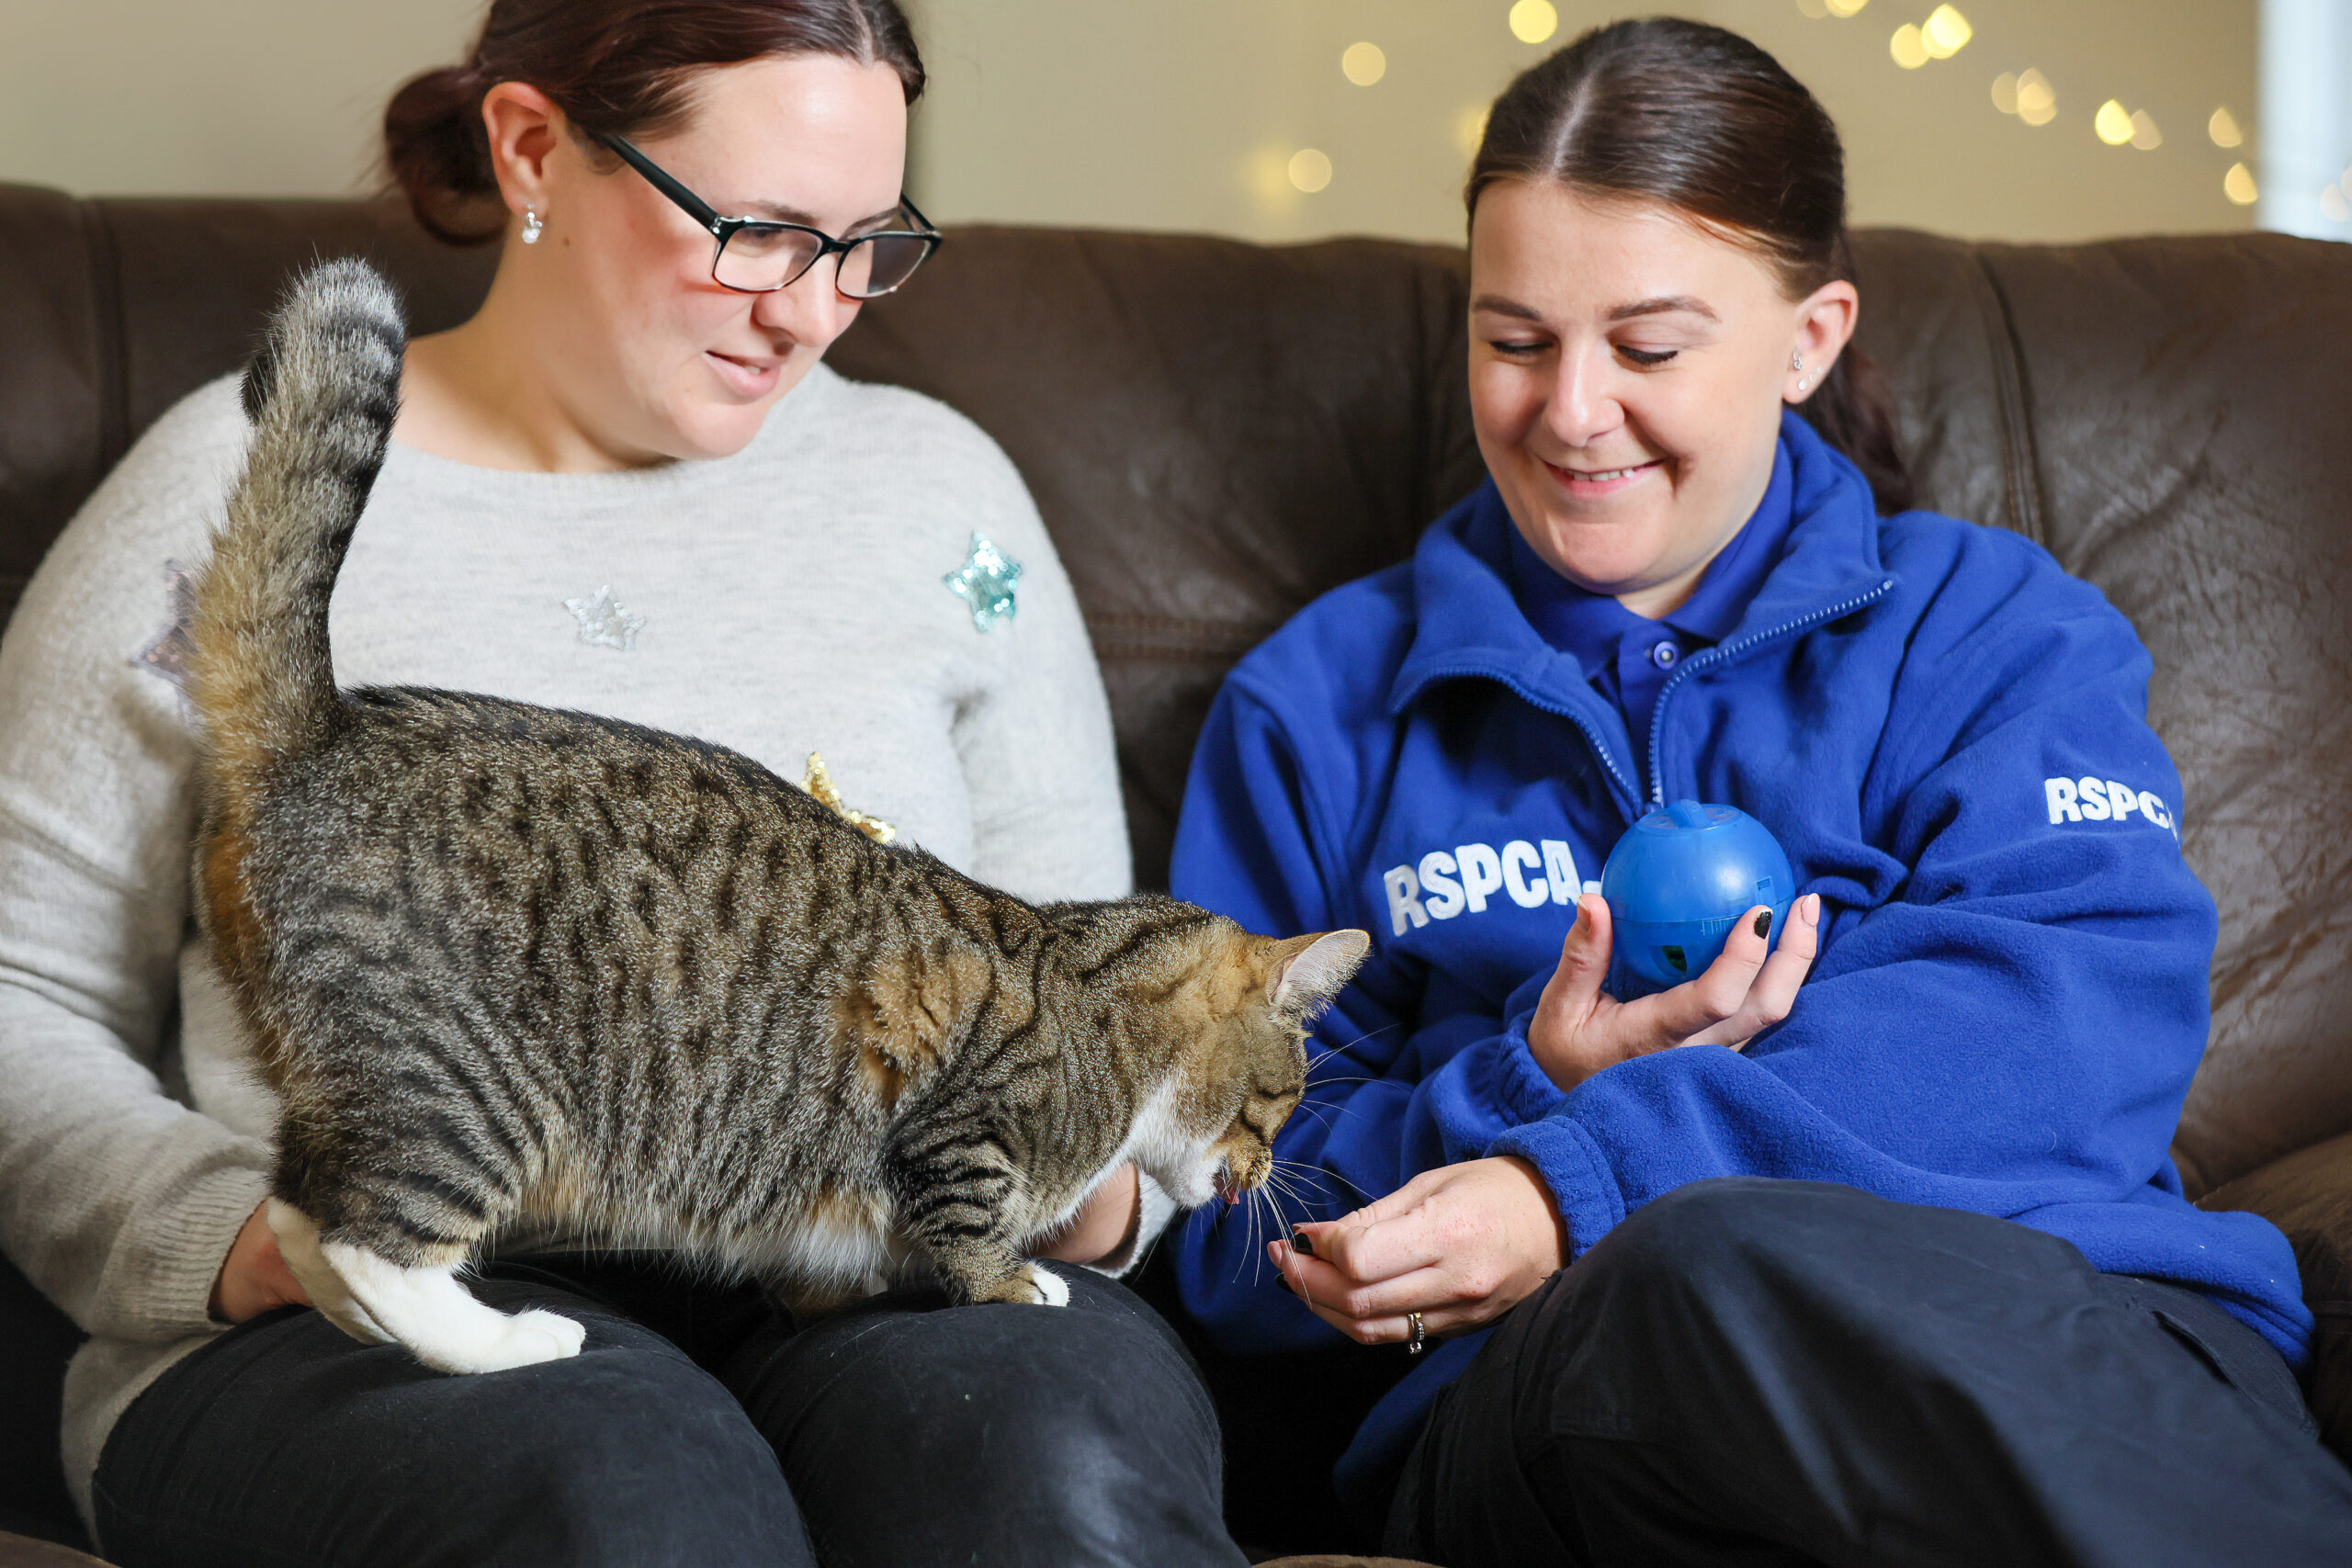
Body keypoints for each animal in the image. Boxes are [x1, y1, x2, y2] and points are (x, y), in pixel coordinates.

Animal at [192, 263, 1374, 1382]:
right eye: (1283, 1102)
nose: (1270, 1175)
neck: (1103, 1002)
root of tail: (326, 728)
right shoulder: (962, 1129)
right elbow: (969, 1225)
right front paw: (1016, 1281)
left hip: (350, 1083)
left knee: (296, 1211)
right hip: (459, 1087)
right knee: (367, 1238)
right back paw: (508, 1340)